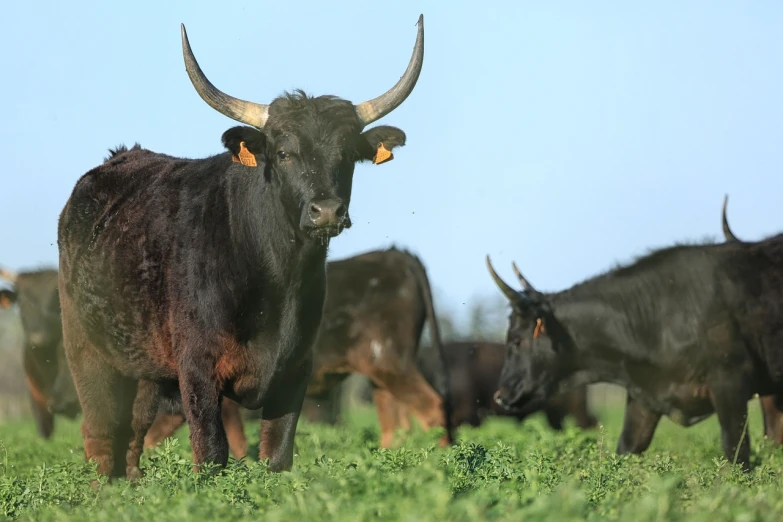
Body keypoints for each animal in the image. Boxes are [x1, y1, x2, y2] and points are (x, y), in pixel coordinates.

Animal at [56, 17, 434, 480]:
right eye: (284, 152)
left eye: (346, 154)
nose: (326, 211)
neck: (276, 279)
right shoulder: (198, 374)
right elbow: (213, 454)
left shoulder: (294, 374)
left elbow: (276, 457)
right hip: (89, 356)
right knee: (101, 438)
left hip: (145, 371)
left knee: (132, 439)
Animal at [486, 197, 783, 470]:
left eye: (517, 340)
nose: (499, 394)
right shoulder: (644, 397)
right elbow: (627, 450)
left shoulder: (730, 381)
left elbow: (736, 452)